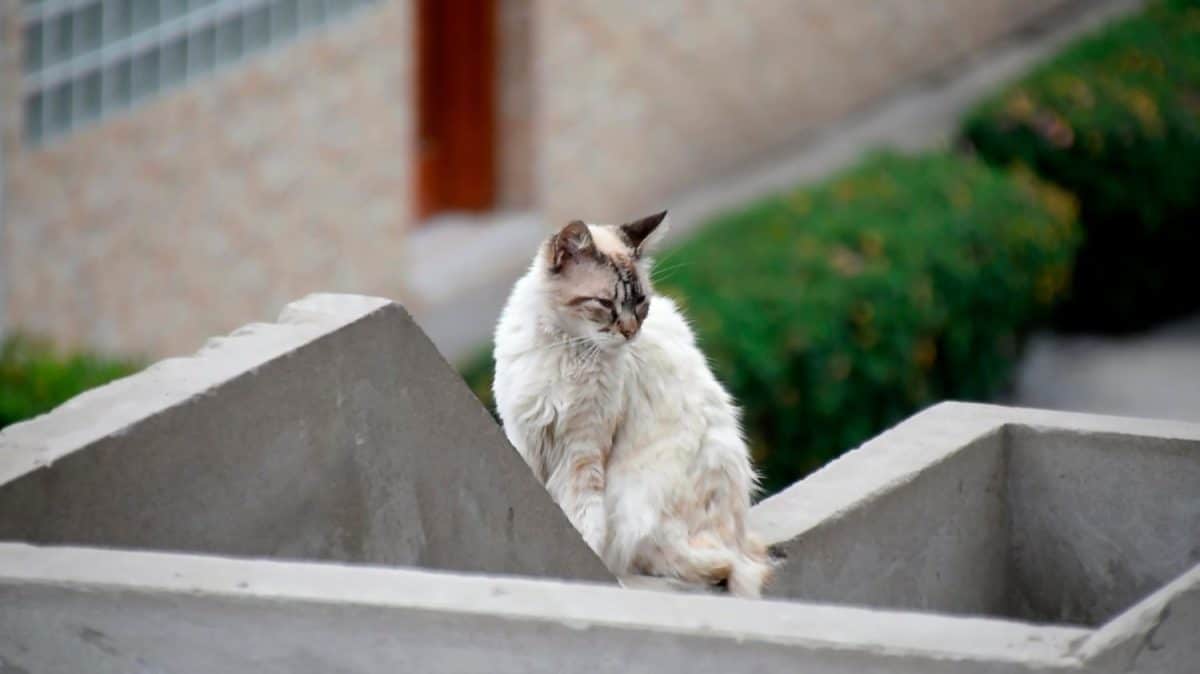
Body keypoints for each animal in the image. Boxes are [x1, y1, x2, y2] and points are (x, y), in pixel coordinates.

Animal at [492, 209, 772, 592]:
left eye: (640, 303)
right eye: (605, 304)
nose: (629, 332)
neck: (569, 350)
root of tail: (736, 543)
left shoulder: (582, 450)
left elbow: (582, 519)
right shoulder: (527, 436)